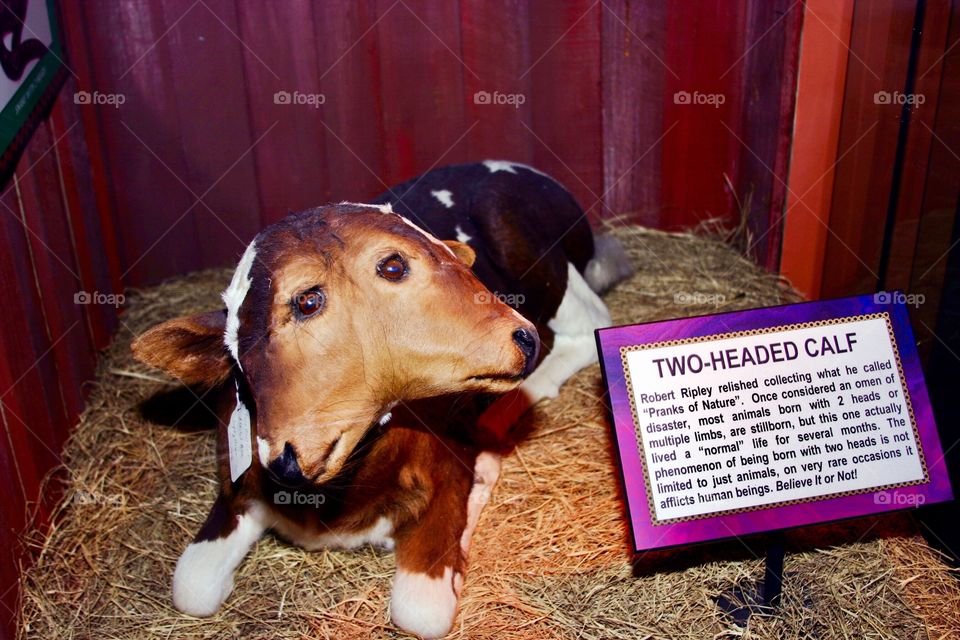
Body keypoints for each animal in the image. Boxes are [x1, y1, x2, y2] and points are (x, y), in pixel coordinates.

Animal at [131, 161, 632, 640]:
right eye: (306, 300)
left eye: (392, 266)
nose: (286, 457)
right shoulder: (236, 488)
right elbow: (191, 586)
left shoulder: (448, 468)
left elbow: (420, 611)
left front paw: (477, 491)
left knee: (588, 324)